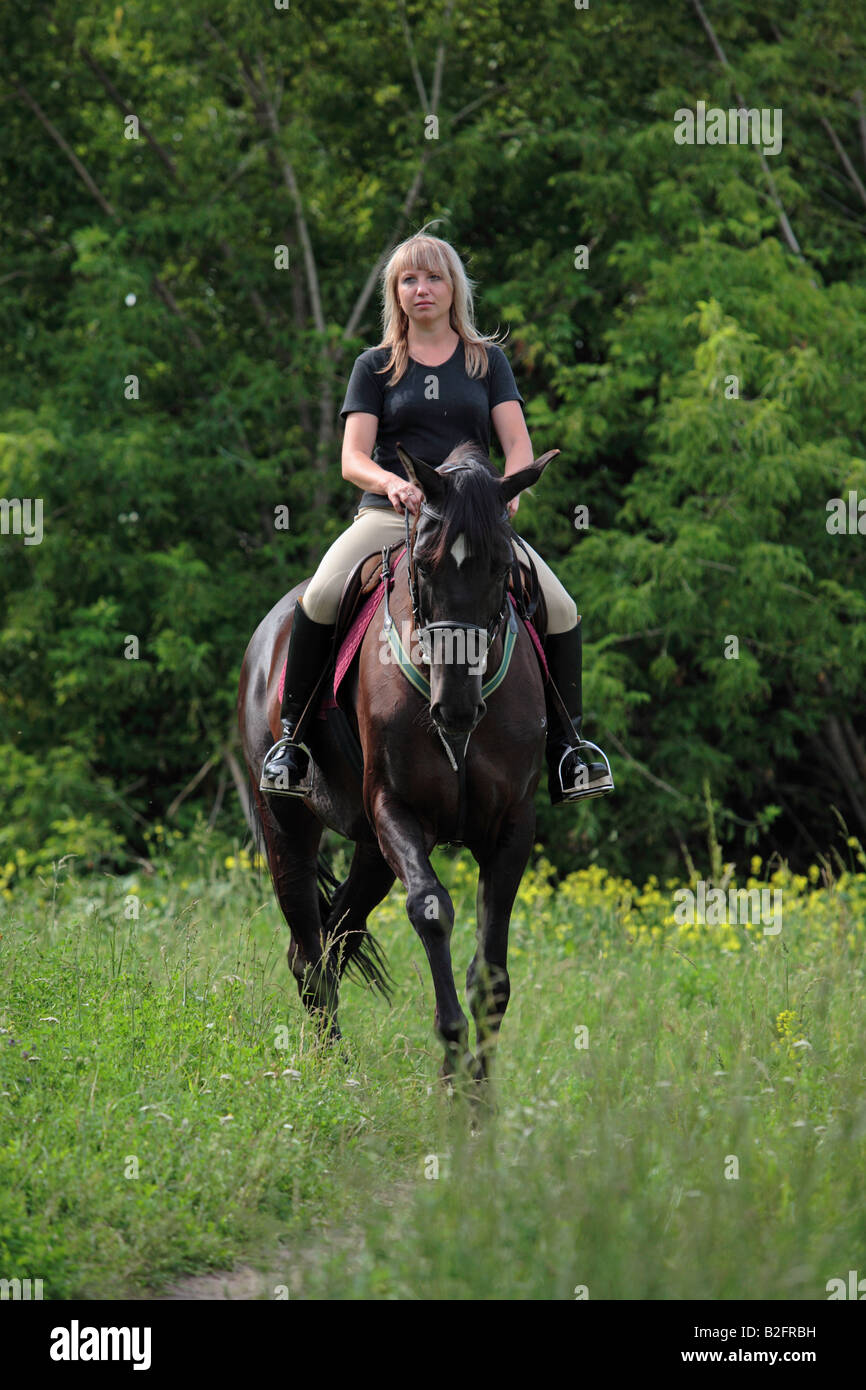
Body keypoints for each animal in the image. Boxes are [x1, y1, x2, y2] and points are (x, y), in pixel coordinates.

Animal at [237, 441, 558, 1084]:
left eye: (499, 568)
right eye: (426, 567)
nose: (455, 708)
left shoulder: (512, 825)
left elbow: (491, 974)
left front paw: (480, 1090)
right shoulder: (398, 810)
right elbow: (431, 909)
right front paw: (452, 1057)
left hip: (369, 848)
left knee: (337, 933)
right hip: (287, 822)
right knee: (308, 950)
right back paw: (332, 1067)